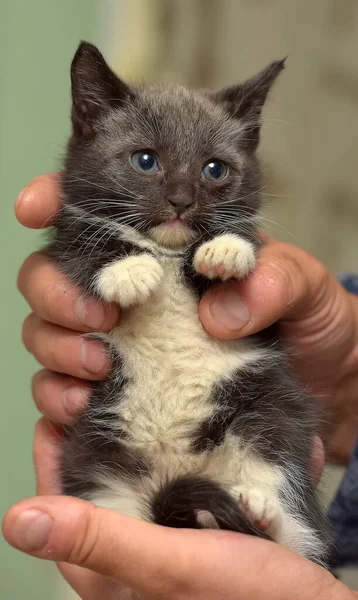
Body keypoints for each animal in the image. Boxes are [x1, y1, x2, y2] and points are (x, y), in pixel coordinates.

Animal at [47, 42, 332, 568]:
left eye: (214, 169)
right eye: (145, 160)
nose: (180, 201)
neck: (167, 251)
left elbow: (243, 246)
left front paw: (225, 251)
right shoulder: (67, 234)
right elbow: (82, 251)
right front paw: (128, 271)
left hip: (271, 412)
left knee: (289, 514)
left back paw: (258, 510)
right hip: (98, 463)